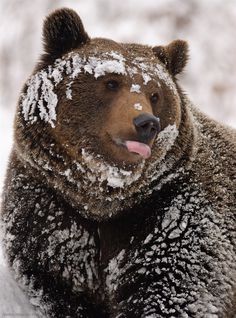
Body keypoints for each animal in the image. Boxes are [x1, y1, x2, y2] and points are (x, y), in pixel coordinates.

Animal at [0, 7, 236, 318]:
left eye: (155, 94)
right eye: (111, 82)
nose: (146, 123)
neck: (103, 200)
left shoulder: (170, 214)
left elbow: (172, 291)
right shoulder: (49, 209)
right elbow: (56, 284)